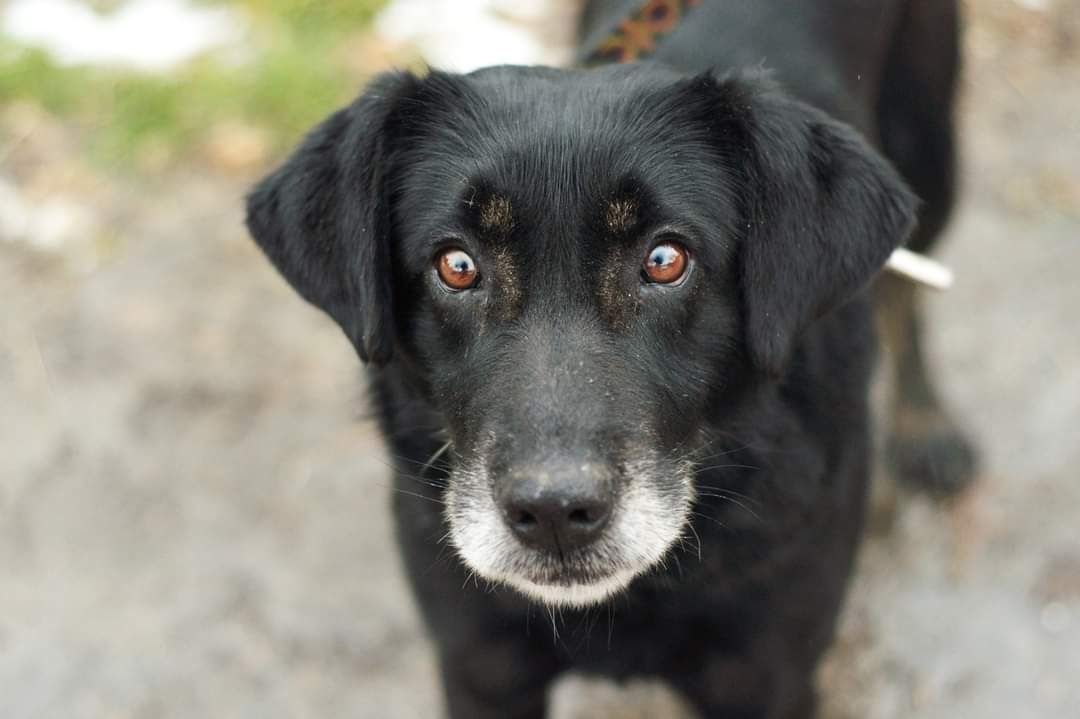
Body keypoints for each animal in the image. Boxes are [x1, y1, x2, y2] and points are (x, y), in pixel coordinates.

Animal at [245, 1, 972, 716]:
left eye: (665, 259)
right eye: (456, 265)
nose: (554, 516)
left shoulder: (768, 675)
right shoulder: (481, 666)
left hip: (929, 140)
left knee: (911, 285)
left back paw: (928, 429)